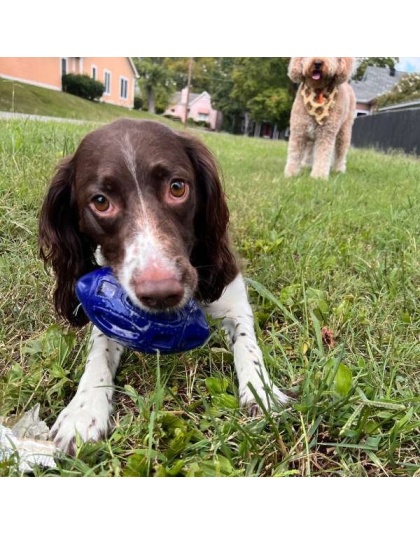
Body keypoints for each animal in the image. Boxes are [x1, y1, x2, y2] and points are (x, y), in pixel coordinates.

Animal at [38, 118, 288, 456]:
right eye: (100, 202)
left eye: (177, 187)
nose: (161, 294)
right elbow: (99, 352)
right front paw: (83, 411)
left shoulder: (233, 300)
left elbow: (248, 346)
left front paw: (262, 391)